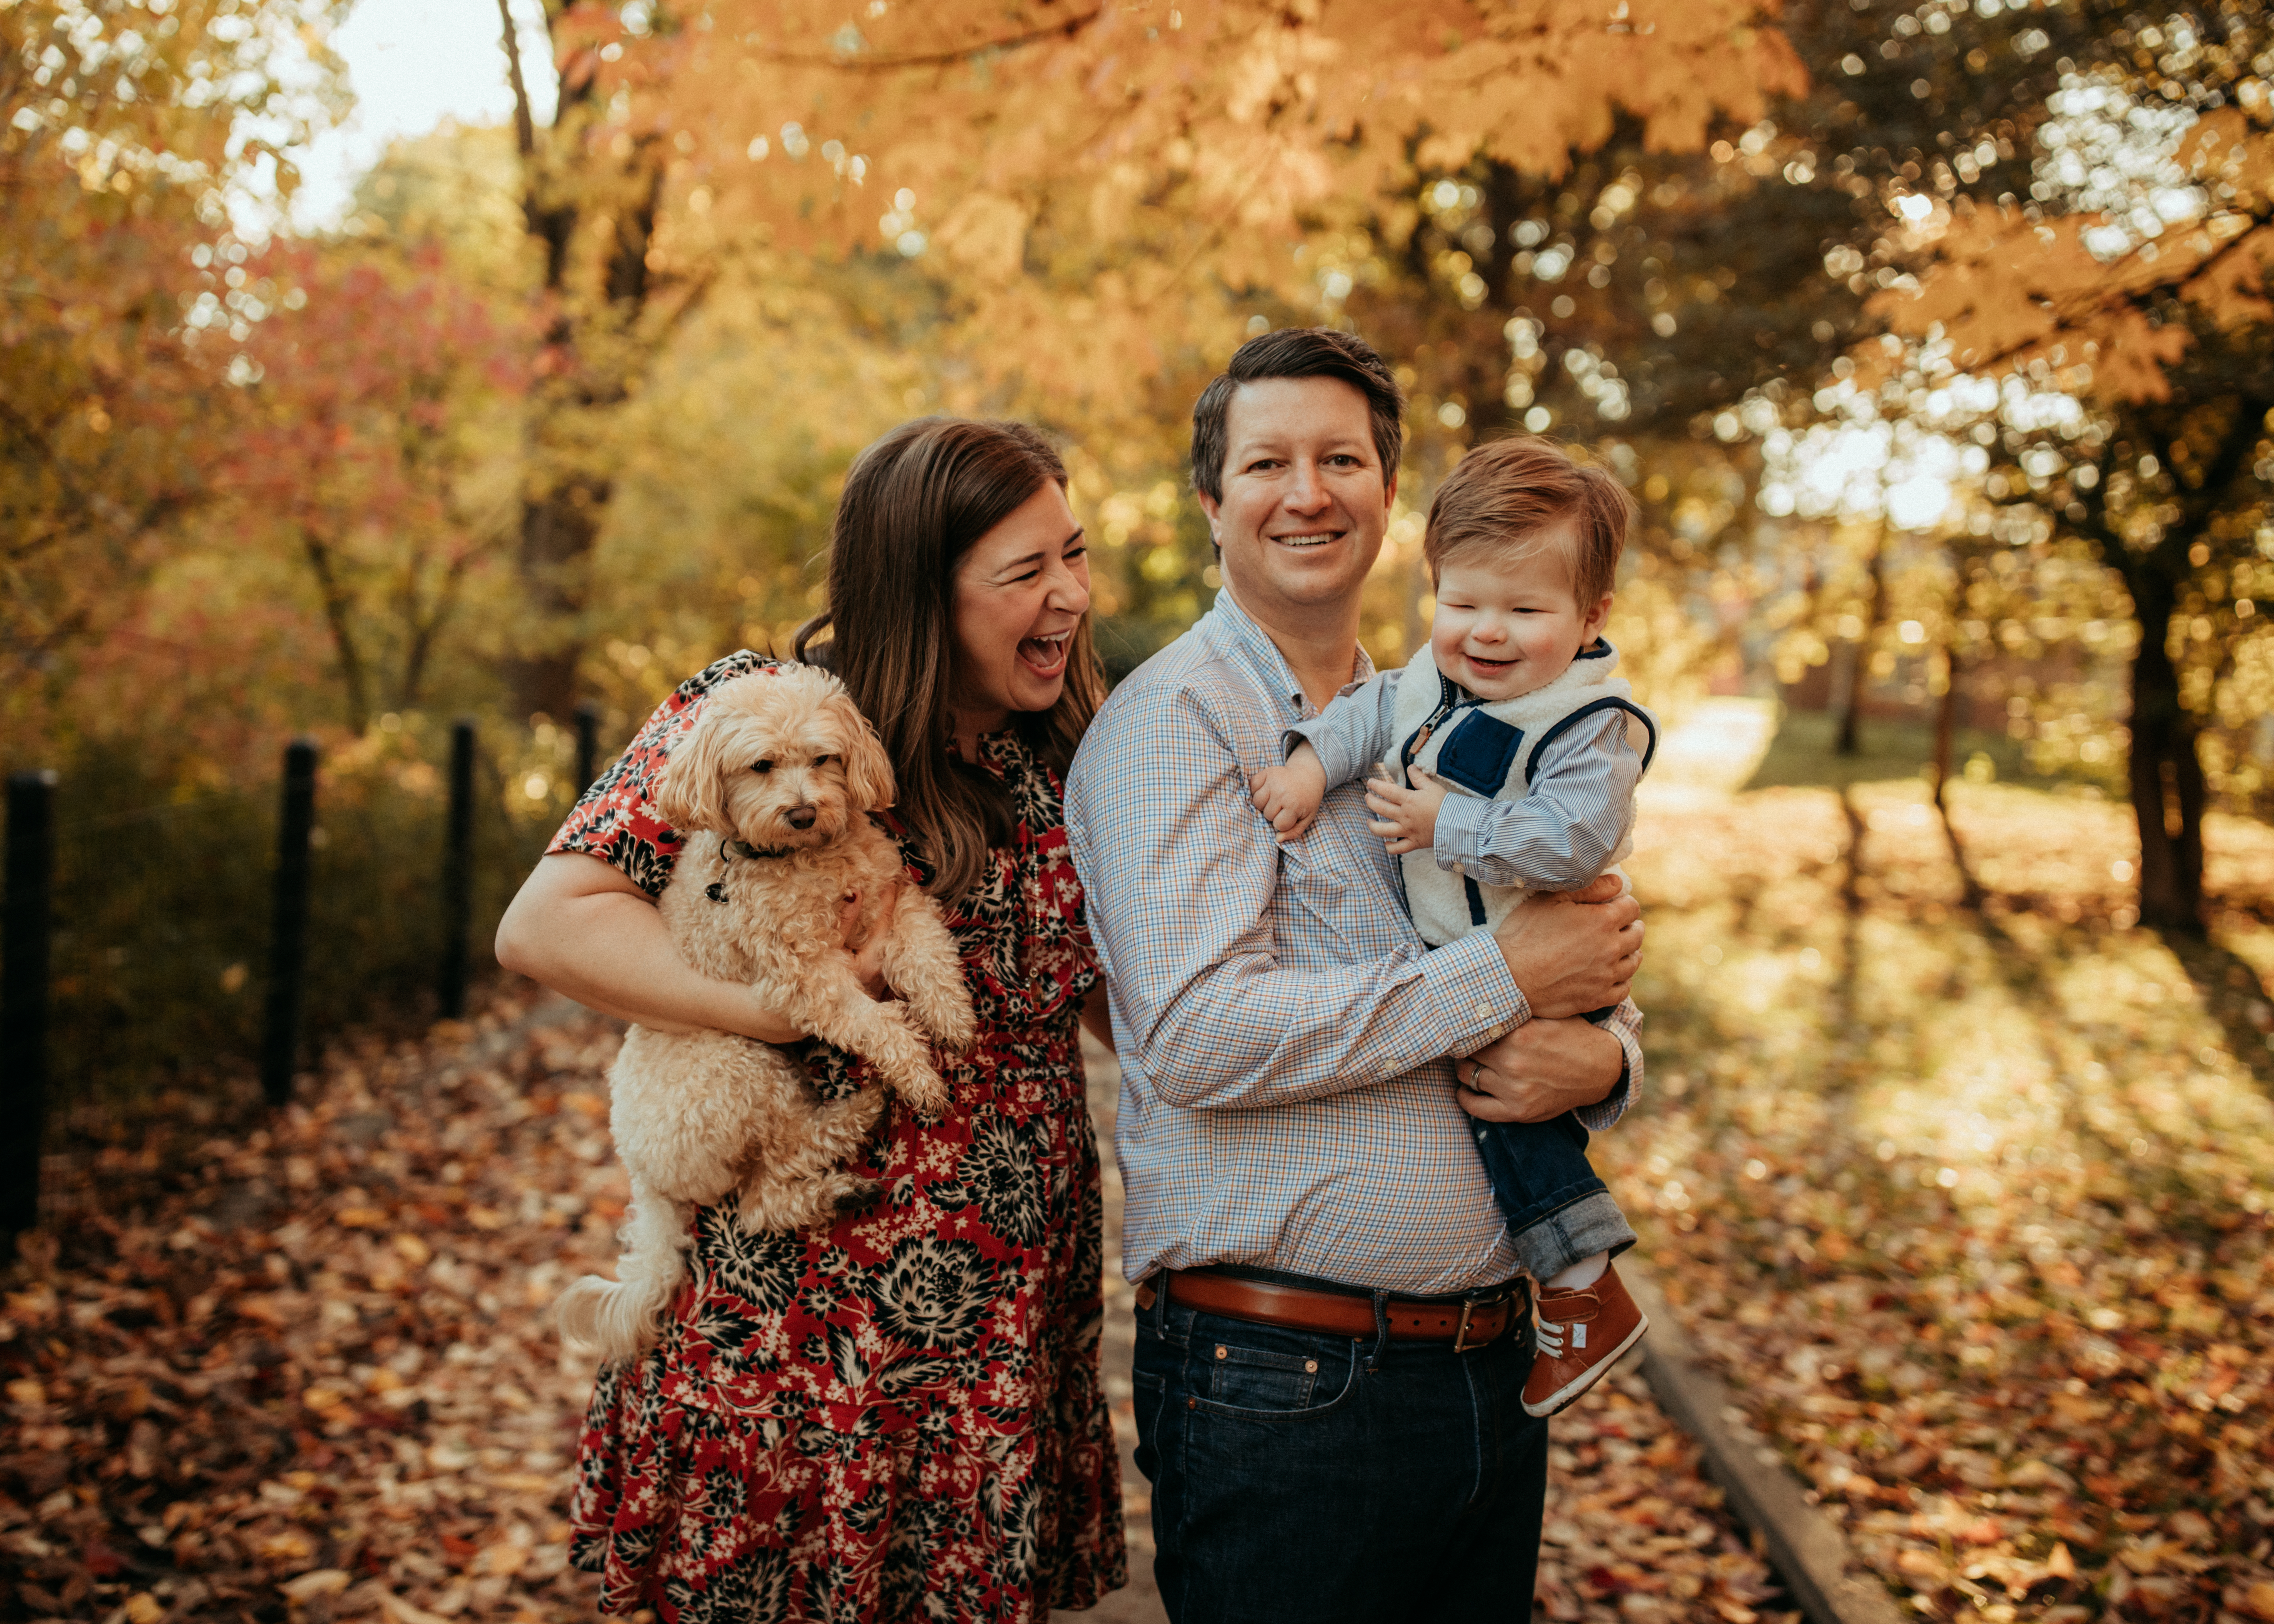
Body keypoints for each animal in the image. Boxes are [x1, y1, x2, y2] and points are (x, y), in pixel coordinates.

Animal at [559, 664, 978, 1355]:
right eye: (760, 765)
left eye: (824, 757)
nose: (802, 812)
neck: (803, 859)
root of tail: (642, 1172)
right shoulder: (804, 979)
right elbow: (875, 1022)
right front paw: (917, 1076)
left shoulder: (894, 903)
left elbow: (928, 955)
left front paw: (952, 1015)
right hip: (740, 1067)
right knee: (776, 1171)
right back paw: (858, 1117)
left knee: (764, 1203)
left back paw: (841, 1187)